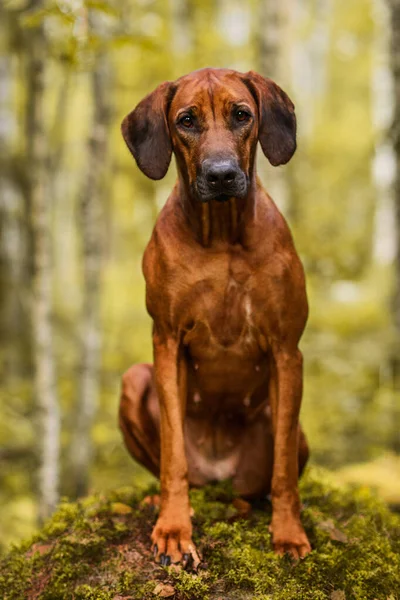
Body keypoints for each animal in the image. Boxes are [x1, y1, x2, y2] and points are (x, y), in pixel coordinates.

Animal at [119, 67, 312, 568]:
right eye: (186, 120)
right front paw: (173, 529)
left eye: (241, 114)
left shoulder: (287, 351)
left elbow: (285, 470)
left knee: (263, 481)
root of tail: (221, 475)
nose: (221, 174)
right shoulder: (166, 342)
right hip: (134, 378)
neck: (223, 236)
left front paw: (288, 534)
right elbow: (173, 458)